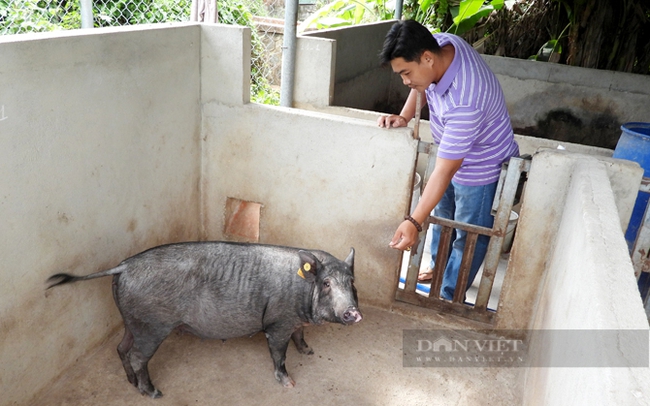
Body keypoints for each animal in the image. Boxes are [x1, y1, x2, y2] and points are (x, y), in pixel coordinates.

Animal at [45, 243, 360, 398]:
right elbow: (279, 355)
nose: (354, 312)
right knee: (136, 356)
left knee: (121, 348)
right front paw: (289, 384)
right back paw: (153, 393)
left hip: (132, 321)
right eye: (327, 283)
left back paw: (131, 382)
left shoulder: (294, 324)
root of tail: (123, 266)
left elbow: (300, 338)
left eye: (352, 282)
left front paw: (309, 351)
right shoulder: (278, 324)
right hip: (152, 326)